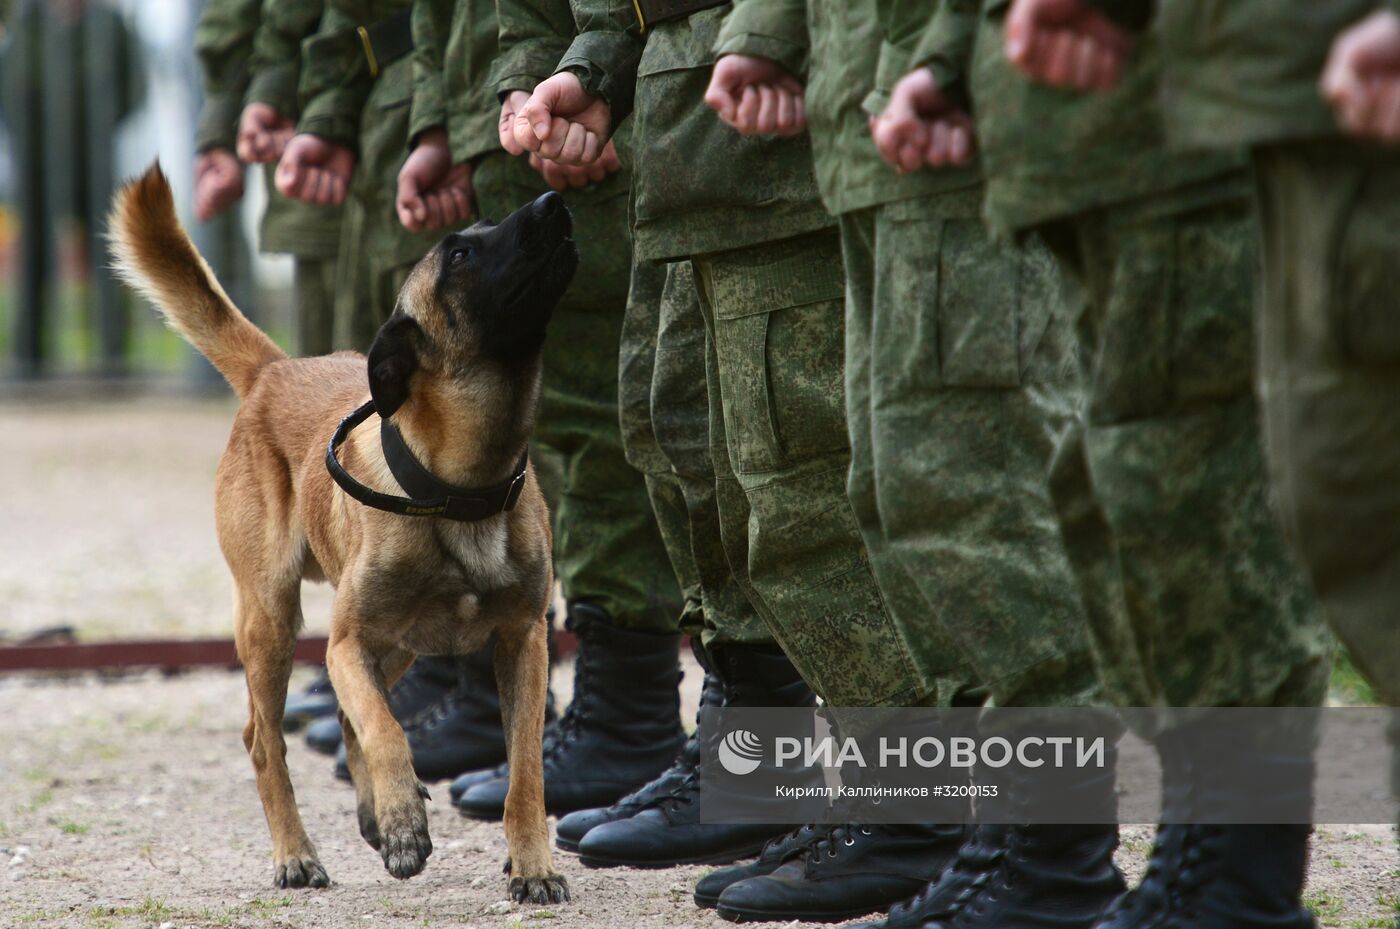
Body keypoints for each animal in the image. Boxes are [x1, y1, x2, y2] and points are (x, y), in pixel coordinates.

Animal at [107, 162, 579, 901]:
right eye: (458, 253)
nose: (555, 199)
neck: (460, 486)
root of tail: (274, 369)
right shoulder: (347, 644)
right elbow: (386, 730)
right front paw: (405, 819)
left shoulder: (523, 641)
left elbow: (523, 769)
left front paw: (531, 863)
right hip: (273, 620)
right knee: (265, 739)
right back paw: (299, 851)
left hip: (398, 644)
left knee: (347, 718)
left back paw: (372, 814)